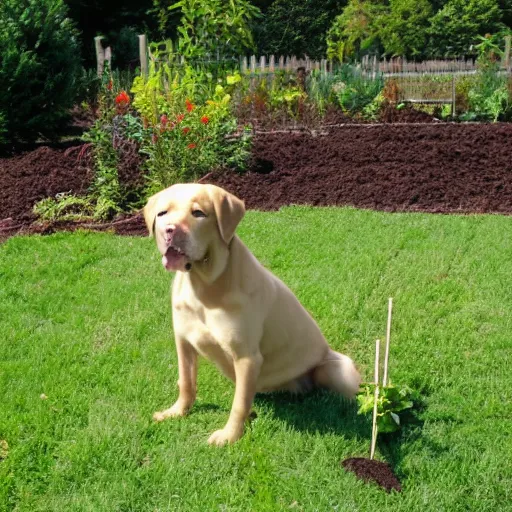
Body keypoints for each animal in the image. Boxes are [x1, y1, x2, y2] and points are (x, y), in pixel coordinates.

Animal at [144, 183, 360, 444]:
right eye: (162, 213)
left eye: (198, 213)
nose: (169, 231)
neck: (204, 287)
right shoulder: (184, 342)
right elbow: (186, 382)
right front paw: (176, 412)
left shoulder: (247, 356)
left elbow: (238, 404)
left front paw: (229, 436)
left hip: (338, 368)